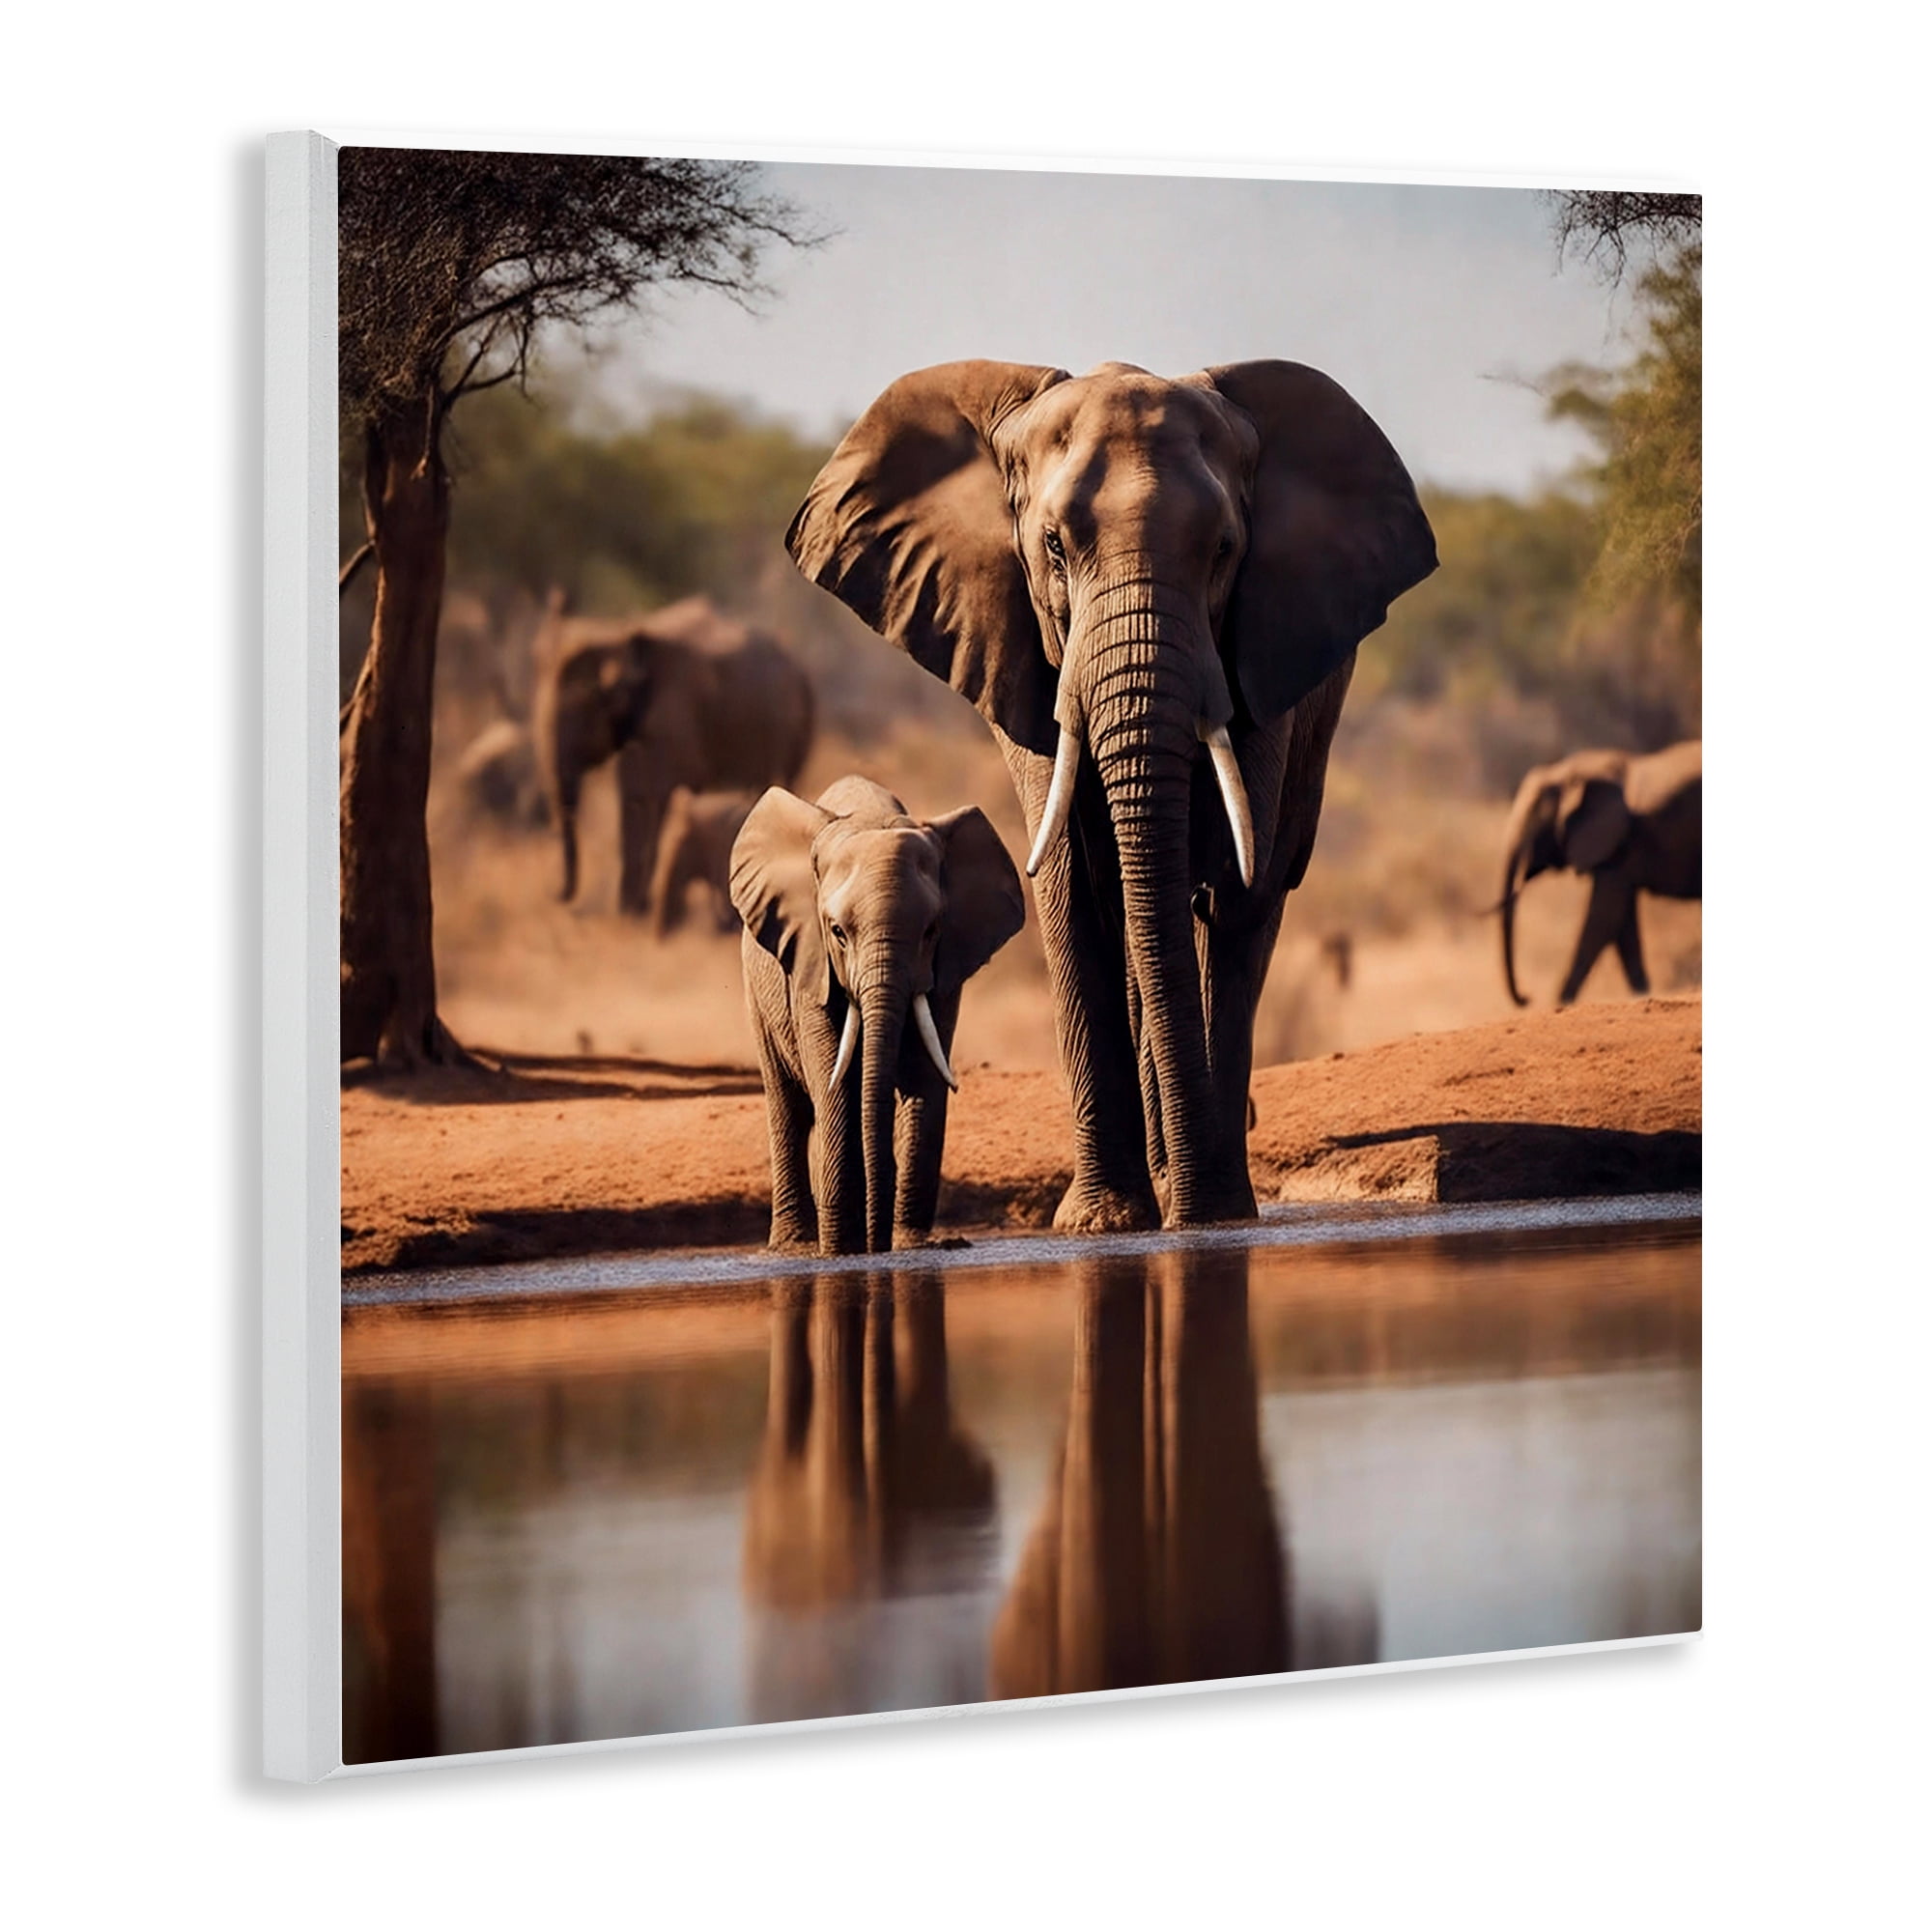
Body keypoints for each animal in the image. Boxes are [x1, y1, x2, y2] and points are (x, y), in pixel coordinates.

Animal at [531, 594, 815, 915]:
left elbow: (658, 795)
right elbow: (632, 798)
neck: (617, 634)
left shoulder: (675, 719)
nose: (553, 895)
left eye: (584, 707)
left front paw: (639, 909)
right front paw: (627, 912)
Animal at [730, 776, 1026, 1256]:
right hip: (758, 991)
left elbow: (925, 1075)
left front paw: (911, 1246)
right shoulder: (810, 959)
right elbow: (832, 1077)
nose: (876, 1242)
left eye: (931, 931)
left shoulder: (946, 967)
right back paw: (795, 1246)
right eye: (837, 932)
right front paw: (841, 1250)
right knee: (787, 1105)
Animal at [787, 359, 1436, 1232]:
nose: (1190, 1207)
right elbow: (1070, 882)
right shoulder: (1024, 657)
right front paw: (1105, 1222)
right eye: (1054, 547)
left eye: (1225, 550)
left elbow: (1234, 888)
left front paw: (1213, 1216)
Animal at [1498, 739, 1701, 1006]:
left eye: (1535, 824)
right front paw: (1642, 994)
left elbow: (1604, 916)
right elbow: (1622, 923)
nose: (1527, 997)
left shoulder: (1616, 840)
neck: (1569, 770)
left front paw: (1560, 1003)